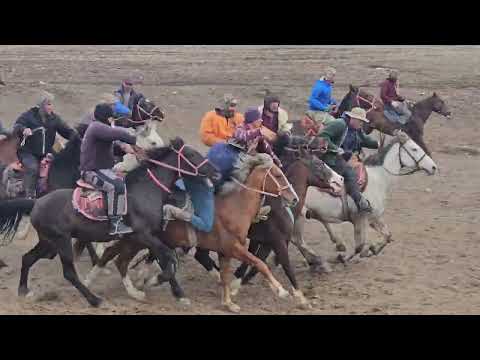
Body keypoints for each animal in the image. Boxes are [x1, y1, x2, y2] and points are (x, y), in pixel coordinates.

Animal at [0, 138, 219, 306]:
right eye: (193, 155)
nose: (216, 172)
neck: (146, 191)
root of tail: (36, 201)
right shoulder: (143, 235)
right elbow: (168, 259)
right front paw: (155, 282)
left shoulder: (150, 237)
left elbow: (165, 259)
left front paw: (177, 294)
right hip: (60, 241)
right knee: (69, 273)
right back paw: (94, 300)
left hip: (48, 242)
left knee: (28, 258)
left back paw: (23, 290)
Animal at [292, 131, 438, 266]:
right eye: (414, 149)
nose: (433, 167)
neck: (378, 178)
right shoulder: (359, 218)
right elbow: (359, 246)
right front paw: (343, 258)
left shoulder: (374, 217)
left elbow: (387, 235)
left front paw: (373, 249)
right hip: (299, 215)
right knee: (297, 239)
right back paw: (317, 260)